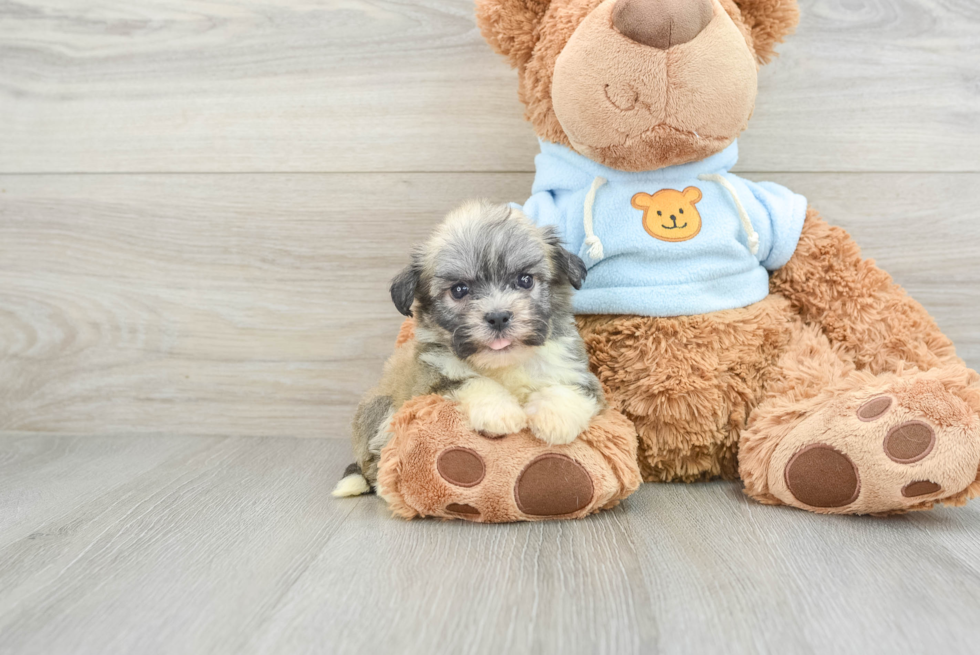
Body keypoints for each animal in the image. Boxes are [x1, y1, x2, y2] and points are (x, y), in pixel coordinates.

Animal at [336, 200, 604, 498]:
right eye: (460, 290)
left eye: (525, 280)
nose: (498, 317)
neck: (504, 364)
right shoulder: (431, 383)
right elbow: (470, 381)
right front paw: (501, 412)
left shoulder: (578, 373)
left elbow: (568, 389)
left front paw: (555, 418)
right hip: (381, 411)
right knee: (379, 458)